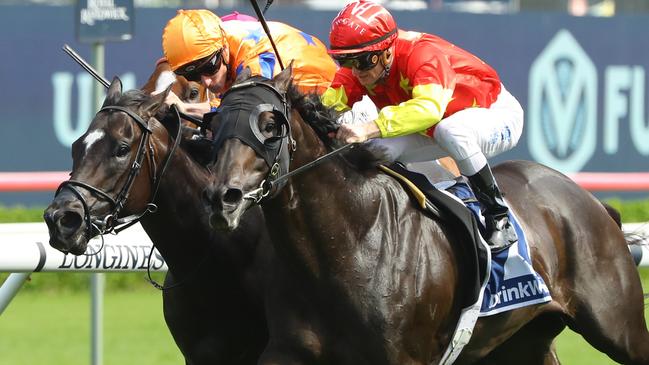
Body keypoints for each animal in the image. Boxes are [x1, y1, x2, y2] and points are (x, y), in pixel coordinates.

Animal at [202, 66, 648, 364]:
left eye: (270, 124)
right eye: (214, 121)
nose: (223, 197)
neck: (346, 242)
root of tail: (594, 203)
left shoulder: (404, 358)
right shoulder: (289, 350)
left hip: (617, 326)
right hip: (524, 339)